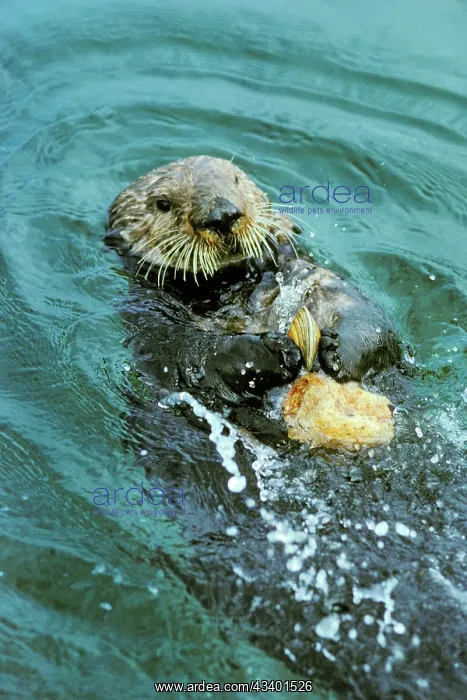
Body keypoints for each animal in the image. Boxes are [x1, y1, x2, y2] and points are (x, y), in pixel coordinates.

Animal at [106, 156, 401, 408]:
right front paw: (269, 353)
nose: (222, 214)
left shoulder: (313, 279)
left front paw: (337, 349)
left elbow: (366, 319)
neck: (234, 289)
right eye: (163, 204)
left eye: (236, 180)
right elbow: (184, 354)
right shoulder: (151, 319)